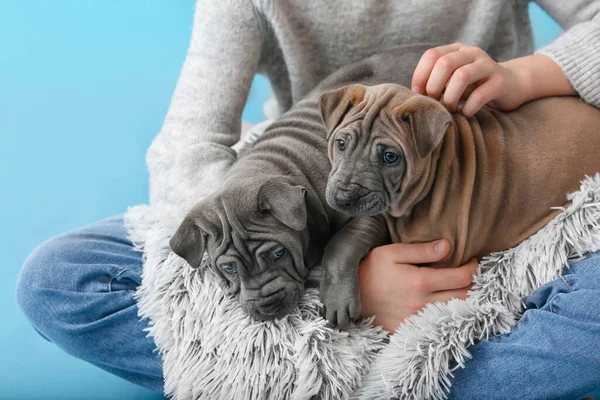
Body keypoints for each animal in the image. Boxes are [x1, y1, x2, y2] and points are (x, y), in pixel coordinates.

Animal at [169, 44, 436, 328]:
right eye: (229, 268)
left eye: (278, 253)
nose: (268, 306)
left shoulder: (368, 211)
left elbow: (340, 244)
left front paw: (336, 301)